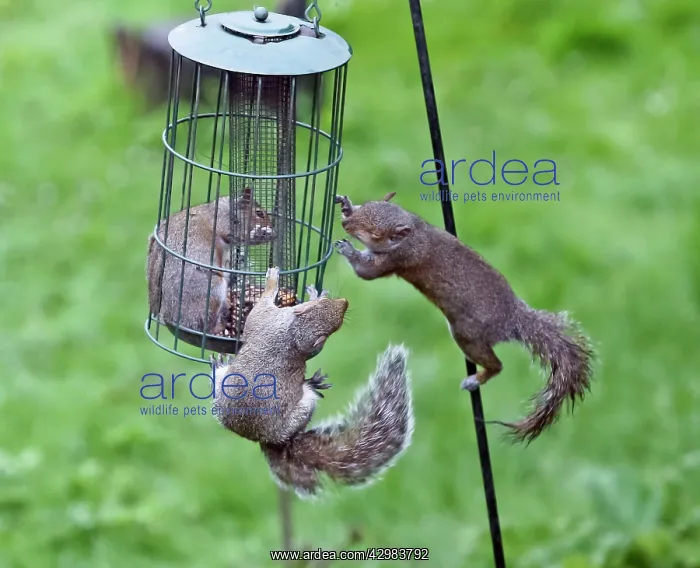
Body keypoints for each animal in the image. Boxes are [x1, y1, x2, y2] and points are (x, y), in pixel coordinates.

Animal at [146, 188, 276, 335]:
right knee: (205, 326)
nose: (272, 228)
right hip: (212, 290)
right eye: (259, 213)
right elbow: (236, 236)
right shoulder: (223, 224)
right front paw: (262, 233)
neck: (227, 209)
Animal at [210, 266, 414, 497]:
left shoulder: (267, 320)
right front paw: (275, 281)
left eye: (335, 324)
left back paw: (311, 383)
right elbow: (264, 302)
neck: (293, 333)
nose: (345, 302)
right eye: (320, 305)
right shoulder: (267, 320)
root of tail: (265, 439)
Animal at [332, 192, 594, 444]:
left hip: (467, 335)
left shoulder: (398, 259)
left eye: (374, 233)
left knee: (496, 365)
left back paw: (475, 379)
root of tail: (512, 319)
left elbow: (367, 272)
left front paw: (348, 250)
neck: (415, 234)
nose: (345, 223)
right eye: (365, 205)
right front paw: (345, 204)